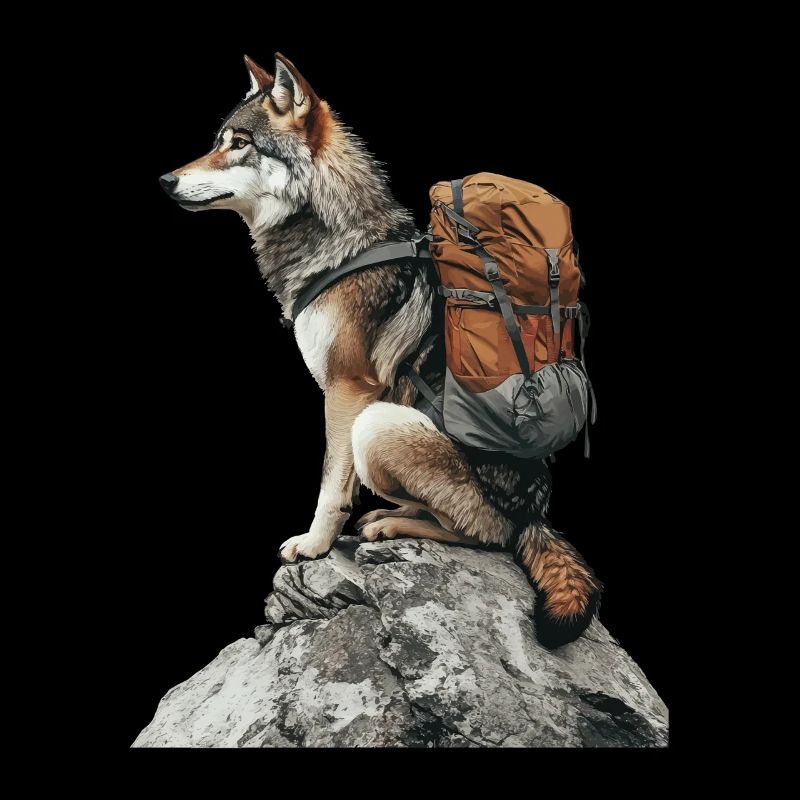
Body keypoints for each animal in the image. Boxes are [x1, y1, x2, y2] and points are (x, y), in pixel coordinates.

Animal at [160, 53, 601, 648]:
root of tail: (537, 511)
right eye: (217, 141)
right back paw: (384, 517)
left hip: (379, 425)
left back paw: (394, 523)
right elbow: (340, 479)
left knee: (489, 534)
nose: (165, 180)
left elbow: (330, 484)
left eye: (240, 143)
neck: (340, 244)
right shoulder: (348, 395)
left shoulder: (347, 390)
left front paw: (313, 545)